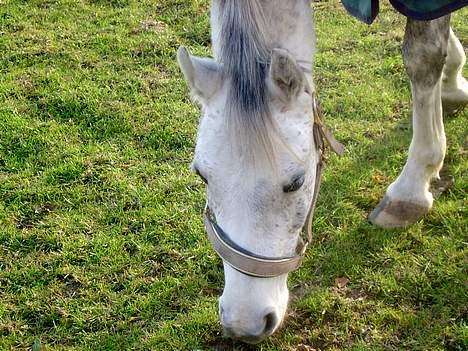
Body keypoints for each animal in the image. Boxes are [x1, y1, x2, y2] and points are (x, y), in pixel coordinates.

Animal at [176, 0, 468, 346]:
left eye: (296, 183)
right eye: (202, 176)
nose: (243, 323)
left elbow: (423, 57)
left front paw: (411, 188)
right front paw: (453, 82)